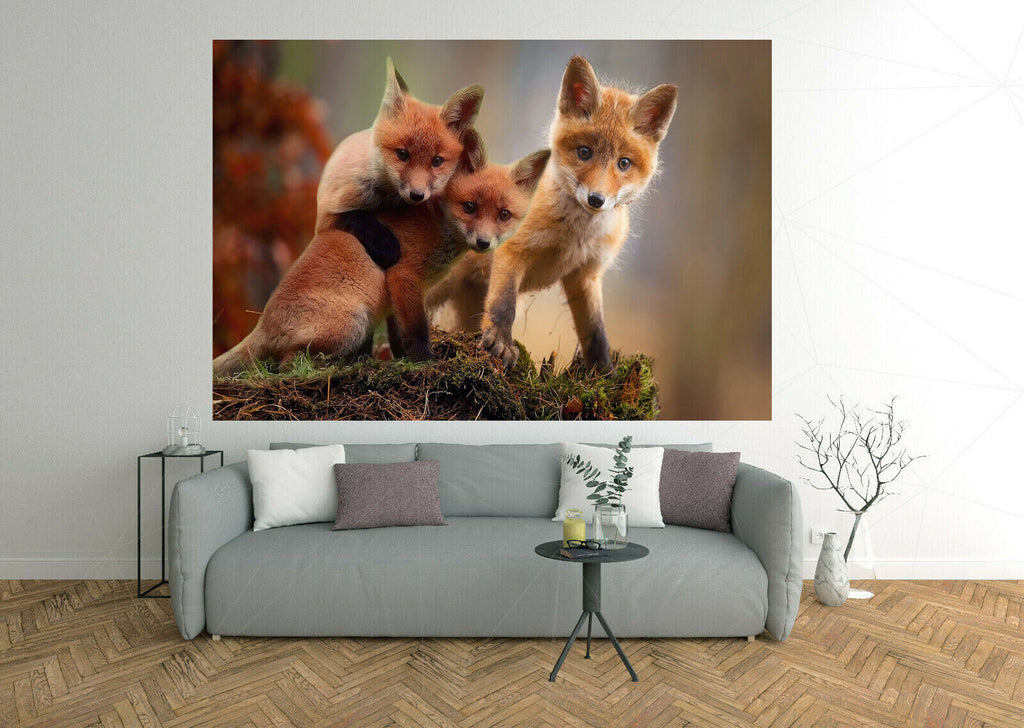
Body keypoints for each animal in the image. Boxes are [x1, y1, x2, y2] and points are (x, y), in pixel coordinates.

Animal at [212, 130, 550, 375]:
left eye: (504, 215)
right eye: (469, 207)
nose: (483, 243)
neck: (437, 222)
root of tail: (262, 324)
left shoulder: (398, 294)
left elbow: (399, 334)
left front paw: (403, 360)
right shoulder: (405, 277)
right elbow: (417, 331)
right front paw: (425, 362)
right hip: (353, 324)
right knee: (285, 364)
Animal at [315, 57, 485, 241]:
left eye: (437, 161)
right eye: (402, 154)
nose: (417, 195)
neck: (385, 199)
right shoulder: (327, 213)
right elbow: (355, 217)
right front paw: (385, 241)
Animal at [432, 56, 677, 372]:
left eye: (624, 163)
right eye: (584, 152)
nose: (596, 199)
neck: (575, 237)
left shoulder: (586, 274)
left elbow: (595, 332)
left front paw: (604, 372)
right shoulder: (513, 250)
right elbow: (503, 305)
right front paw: (500, 342)